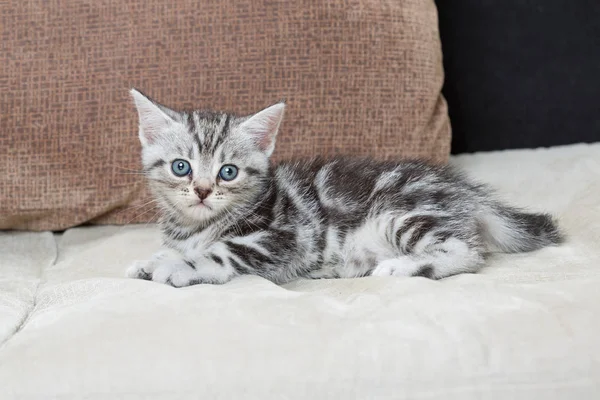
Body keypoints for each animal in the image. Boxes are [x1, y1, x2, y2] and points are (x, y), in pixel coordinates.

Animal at [125, 89, 564, 286]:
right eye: (181, 167)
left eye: (228, 172)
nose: (201, 191)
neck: (197, 226)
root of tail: (464, 191)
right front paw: (152, 259)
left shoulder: (285, 236)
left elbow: (222, 252)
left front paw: (177, 266)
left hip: (400, 213)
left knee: (468, 252)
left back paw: (402, 266)